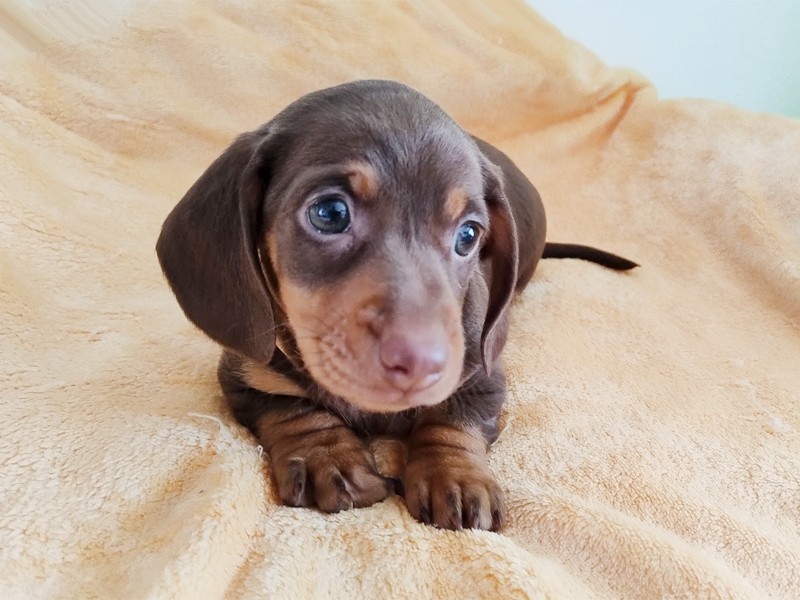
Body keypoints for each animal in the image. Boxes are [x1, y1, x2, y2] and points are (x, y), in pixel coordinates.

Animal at [156, 80, 637, 531]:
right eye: (329, 213)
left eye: (468, 235)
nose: (423, 364)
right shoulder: (248, 373)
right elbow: (292, 407)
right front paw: (326, 456)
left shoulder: (482, 374)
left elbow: (452, 420)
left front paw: (453, 474)